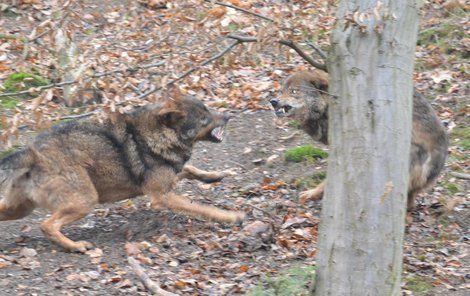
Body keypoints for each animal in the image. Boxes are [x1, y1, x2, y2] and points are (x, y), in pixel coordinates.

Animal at [1, 95, 246, 252]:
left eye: (209, 109)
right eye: (204, 119)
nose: (229, 115)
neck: (158, 135)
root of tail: (31, 152)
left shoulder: (167, 178)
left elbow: (190, 169)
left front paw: (214, 175)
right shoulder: (161, 197)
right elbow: (203, 208)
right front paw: (232, 217)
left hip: (20, 209)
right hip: (85, 201)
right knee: (47, 226)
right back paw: (76, 247)